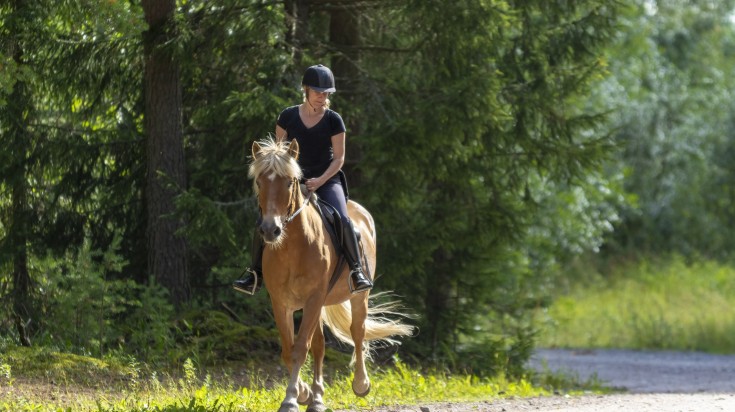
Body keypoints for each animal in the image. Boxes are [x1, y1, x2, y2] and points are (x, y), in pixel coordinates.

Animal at [249, 138, 414, 412]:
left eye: (289, 182)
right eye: (260, 182)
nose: (271, 230)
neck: (292, 248)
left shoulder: (314, 299)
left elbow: (300, 349)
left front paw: (291, 399)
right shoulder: (281, 302)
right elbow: (288, 349)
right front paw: (303, 394)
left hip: (357, 296)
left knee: (357, 332)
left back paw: (360, 384)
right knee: (319, 345)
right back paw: (316, 397)